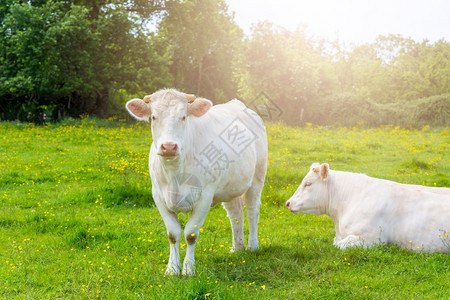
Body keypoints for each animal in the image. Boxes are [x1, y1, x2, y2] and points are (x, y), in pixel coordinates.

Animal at [125, 88, 268, 276]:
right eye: (154, 117)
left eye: (184, 116)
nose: (169, 147)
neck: (174, 174)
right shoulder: (158, 196)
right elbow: (173, 233)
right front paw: (172, 269)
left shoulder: (205, 196)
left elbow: (191, 234)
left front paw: (188, 269)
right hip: (229, 186)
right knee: (235, 213)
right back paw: (237, 247)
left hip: (257, 176)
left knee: (252, 211)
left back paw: (252, 245)